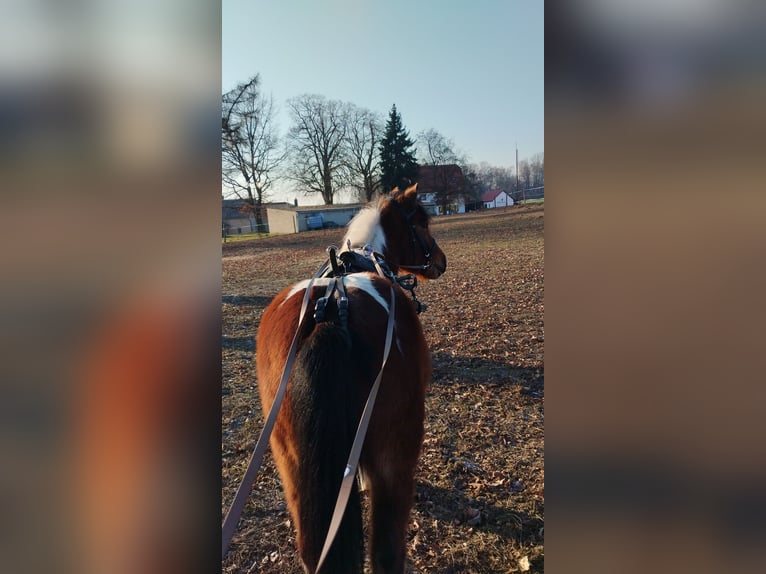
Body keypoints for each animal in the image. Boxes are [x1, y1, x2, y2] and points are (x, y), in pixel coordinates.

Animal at [255, 184, 447, 573]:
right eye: (422, 222)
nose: (441, 261)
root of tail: (328, 311)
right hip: (395, 458)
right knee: (387, 553)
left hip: (291, 466)